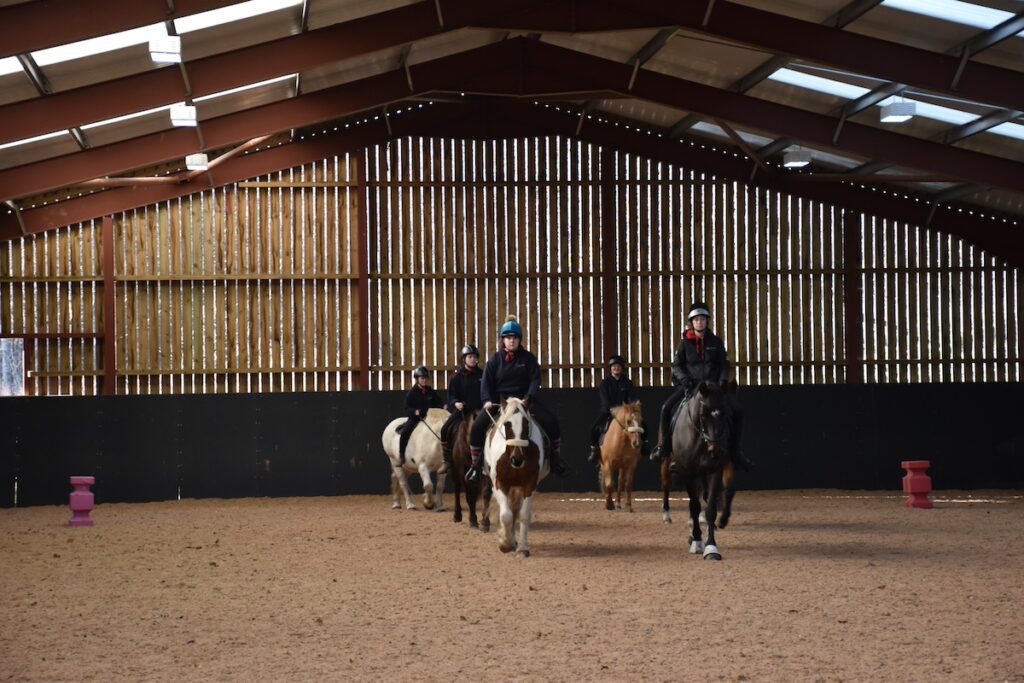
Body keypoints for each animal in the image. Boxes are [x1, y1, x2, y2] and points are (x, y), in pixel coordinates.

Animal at [483, 397, 548, 557]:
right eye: (507, 424)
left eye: (526, 423)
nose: (517, 460)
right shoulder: (500, 483)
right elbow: (506, 515)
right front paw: (505, 544)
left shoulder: (530, 484)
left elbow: (523, 515)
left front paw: (522, 548)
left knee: (516, 510)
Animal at [663, 378, 737, 561]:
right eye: (703, 414)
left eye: (724, 413)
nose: (716, 451)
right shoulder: (688, 472)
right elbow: (695, 505)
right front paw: (697, 541)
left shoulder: (716, 471)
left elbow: (710, 507)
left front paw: (711, 547)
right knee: (668, 486)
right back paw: (668, 516)